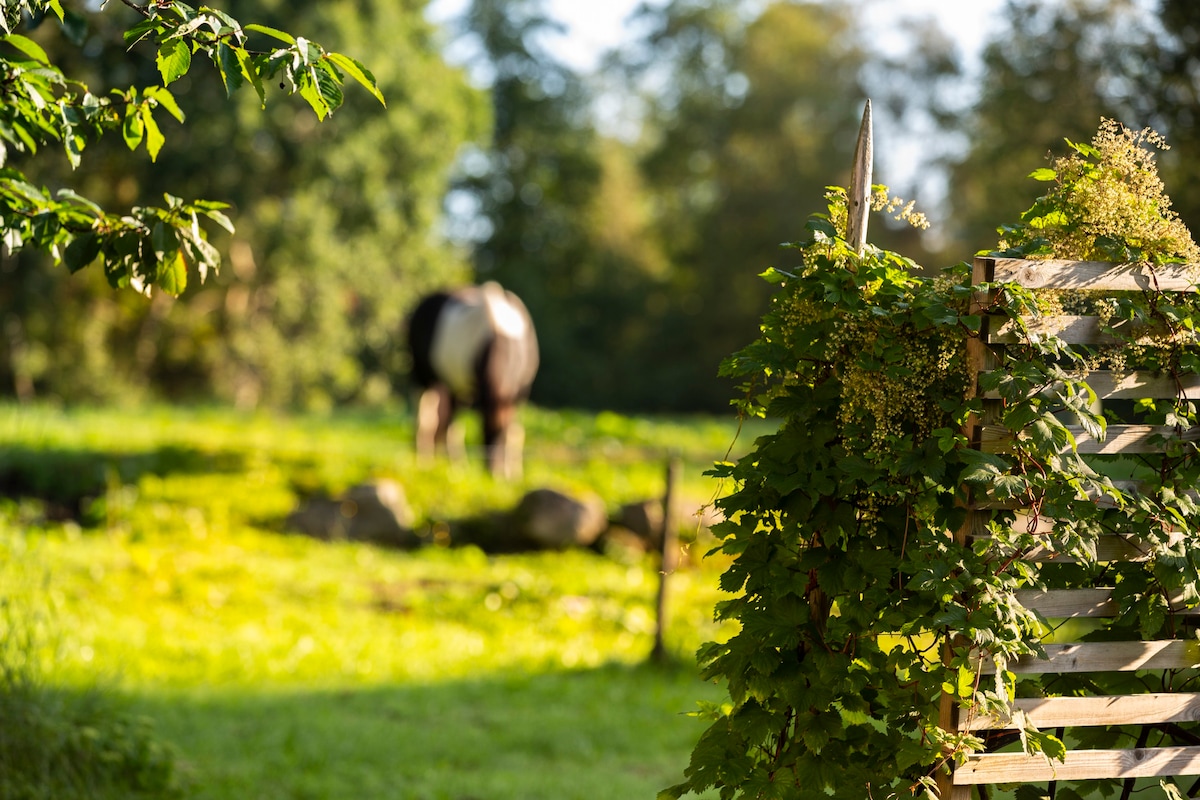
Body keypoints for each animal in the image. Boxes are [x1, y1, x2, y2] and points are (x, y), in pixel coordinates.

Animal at [408, 283, 540, 479]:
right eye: (483, 435)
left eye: (499, 439)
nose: (493, 473)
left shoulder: (520, 393)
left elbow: (515, 432)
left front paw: (513, 473)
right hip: (425, 378)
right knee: (427, 417)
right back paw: (427, 461)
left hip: (456, 388)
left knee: (448, 424)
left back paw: (452, 463)